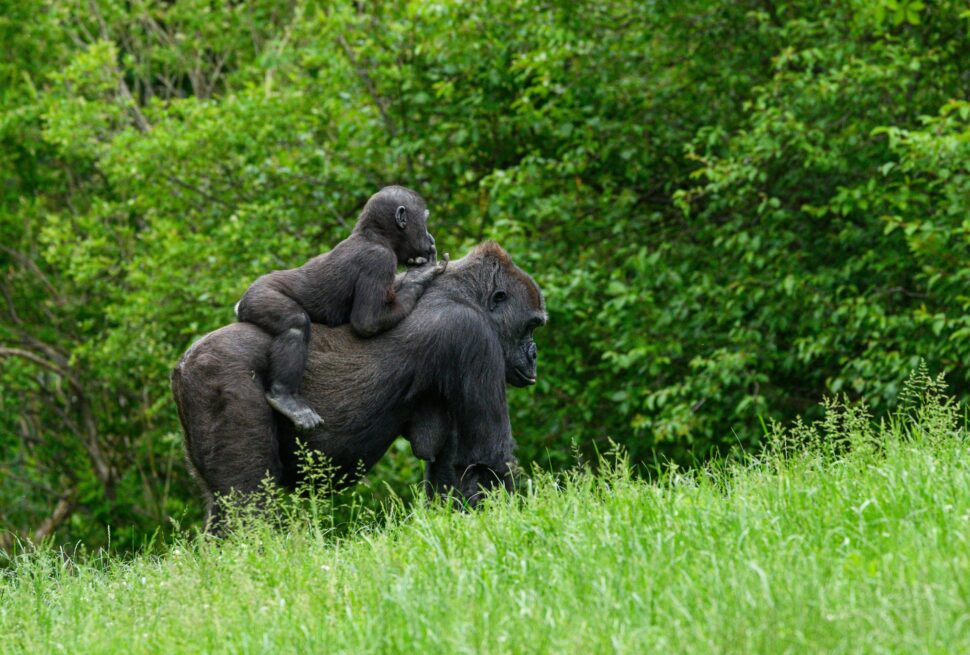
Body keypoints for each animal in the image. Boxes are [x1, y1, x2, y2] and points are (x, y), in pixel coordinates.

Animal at [234, 185, 445, 430]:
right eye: (424, 221)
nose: (430, 238)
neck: (377, 237)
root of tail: (240, 303)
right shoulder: (379, 261)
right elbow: (367, 321)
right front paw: (418, 279)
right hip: (259, 296)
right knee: (295, 323)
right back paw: (285, 397)